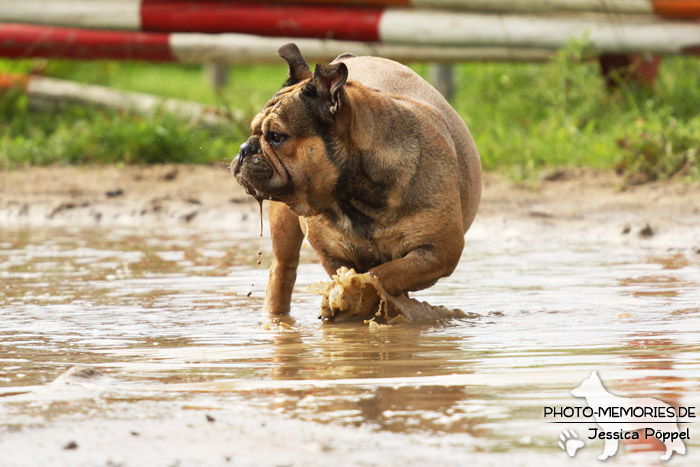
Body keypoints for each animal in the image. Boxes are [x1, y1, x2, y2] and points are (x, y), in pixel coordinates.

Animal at [231, 44, 482, 320]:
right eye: (253, 131)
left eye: (276, 137)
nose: (244, 149)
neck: (353, 194)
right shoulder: (332, 253)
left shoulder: (437, 252)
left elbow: (382, 274)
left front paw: (356, 296)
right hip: (283, 223)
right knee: (283, 269)